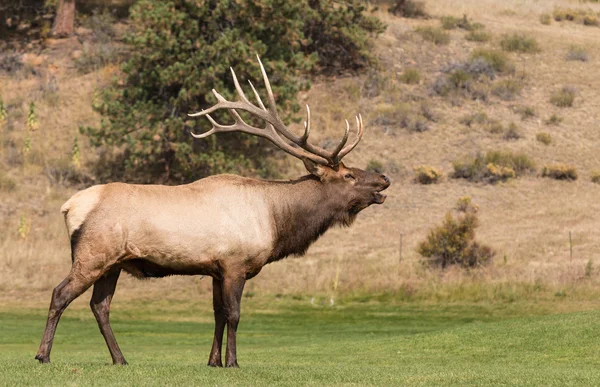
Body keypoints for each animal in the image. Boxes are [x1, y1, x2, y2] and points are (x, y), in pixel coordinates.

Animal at [35, 56, 392, 368]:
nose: (384, 178)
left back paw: (120, 359)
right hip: (93, 254)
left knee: (100, 305)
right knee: (60, 293)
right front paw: (233, 362)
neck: (276, 222)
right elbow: (234, 314)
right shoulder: (235, 263)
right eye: (349, 175)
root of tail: (69, 206)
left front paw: (213, 361)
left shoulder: (215, 270)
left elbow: (218, 314)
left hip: (114, 263)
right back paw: (43, 355)